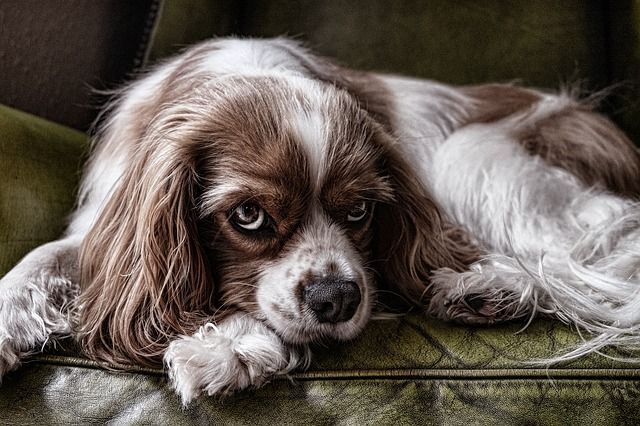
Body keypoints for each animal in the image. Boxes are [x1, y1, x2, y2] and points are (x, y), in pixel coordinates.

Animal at [1, 36, 640, 402]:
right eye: (249, 215)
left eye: (359, 210)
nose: (336, 299)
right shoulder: (109, 222)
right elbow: (43, 257)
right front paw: (8, 320)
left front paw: (231, 345)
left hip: (476, 155)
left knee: (583, 260)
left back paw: (488, 286)